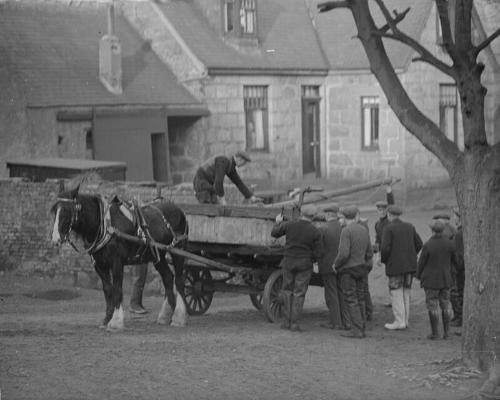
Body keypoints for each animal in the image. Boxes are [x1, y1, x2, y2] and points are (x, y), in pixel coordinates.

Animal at [50, 185, 188, 332]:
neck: (107, 226)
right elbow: (108, 290)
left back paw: (179, 316)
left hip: (179, 251)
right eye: (55, 210)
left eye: (66, 210)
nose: (55, 238)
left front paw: (116, 321)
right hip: (158, 256)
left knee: (179, 280)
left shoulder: (117, 262)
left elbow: (117, 289)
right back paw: (167, 315)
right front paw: (107, 319)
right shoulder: (99, 265)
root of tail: (179, 210)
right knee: (168, 277)